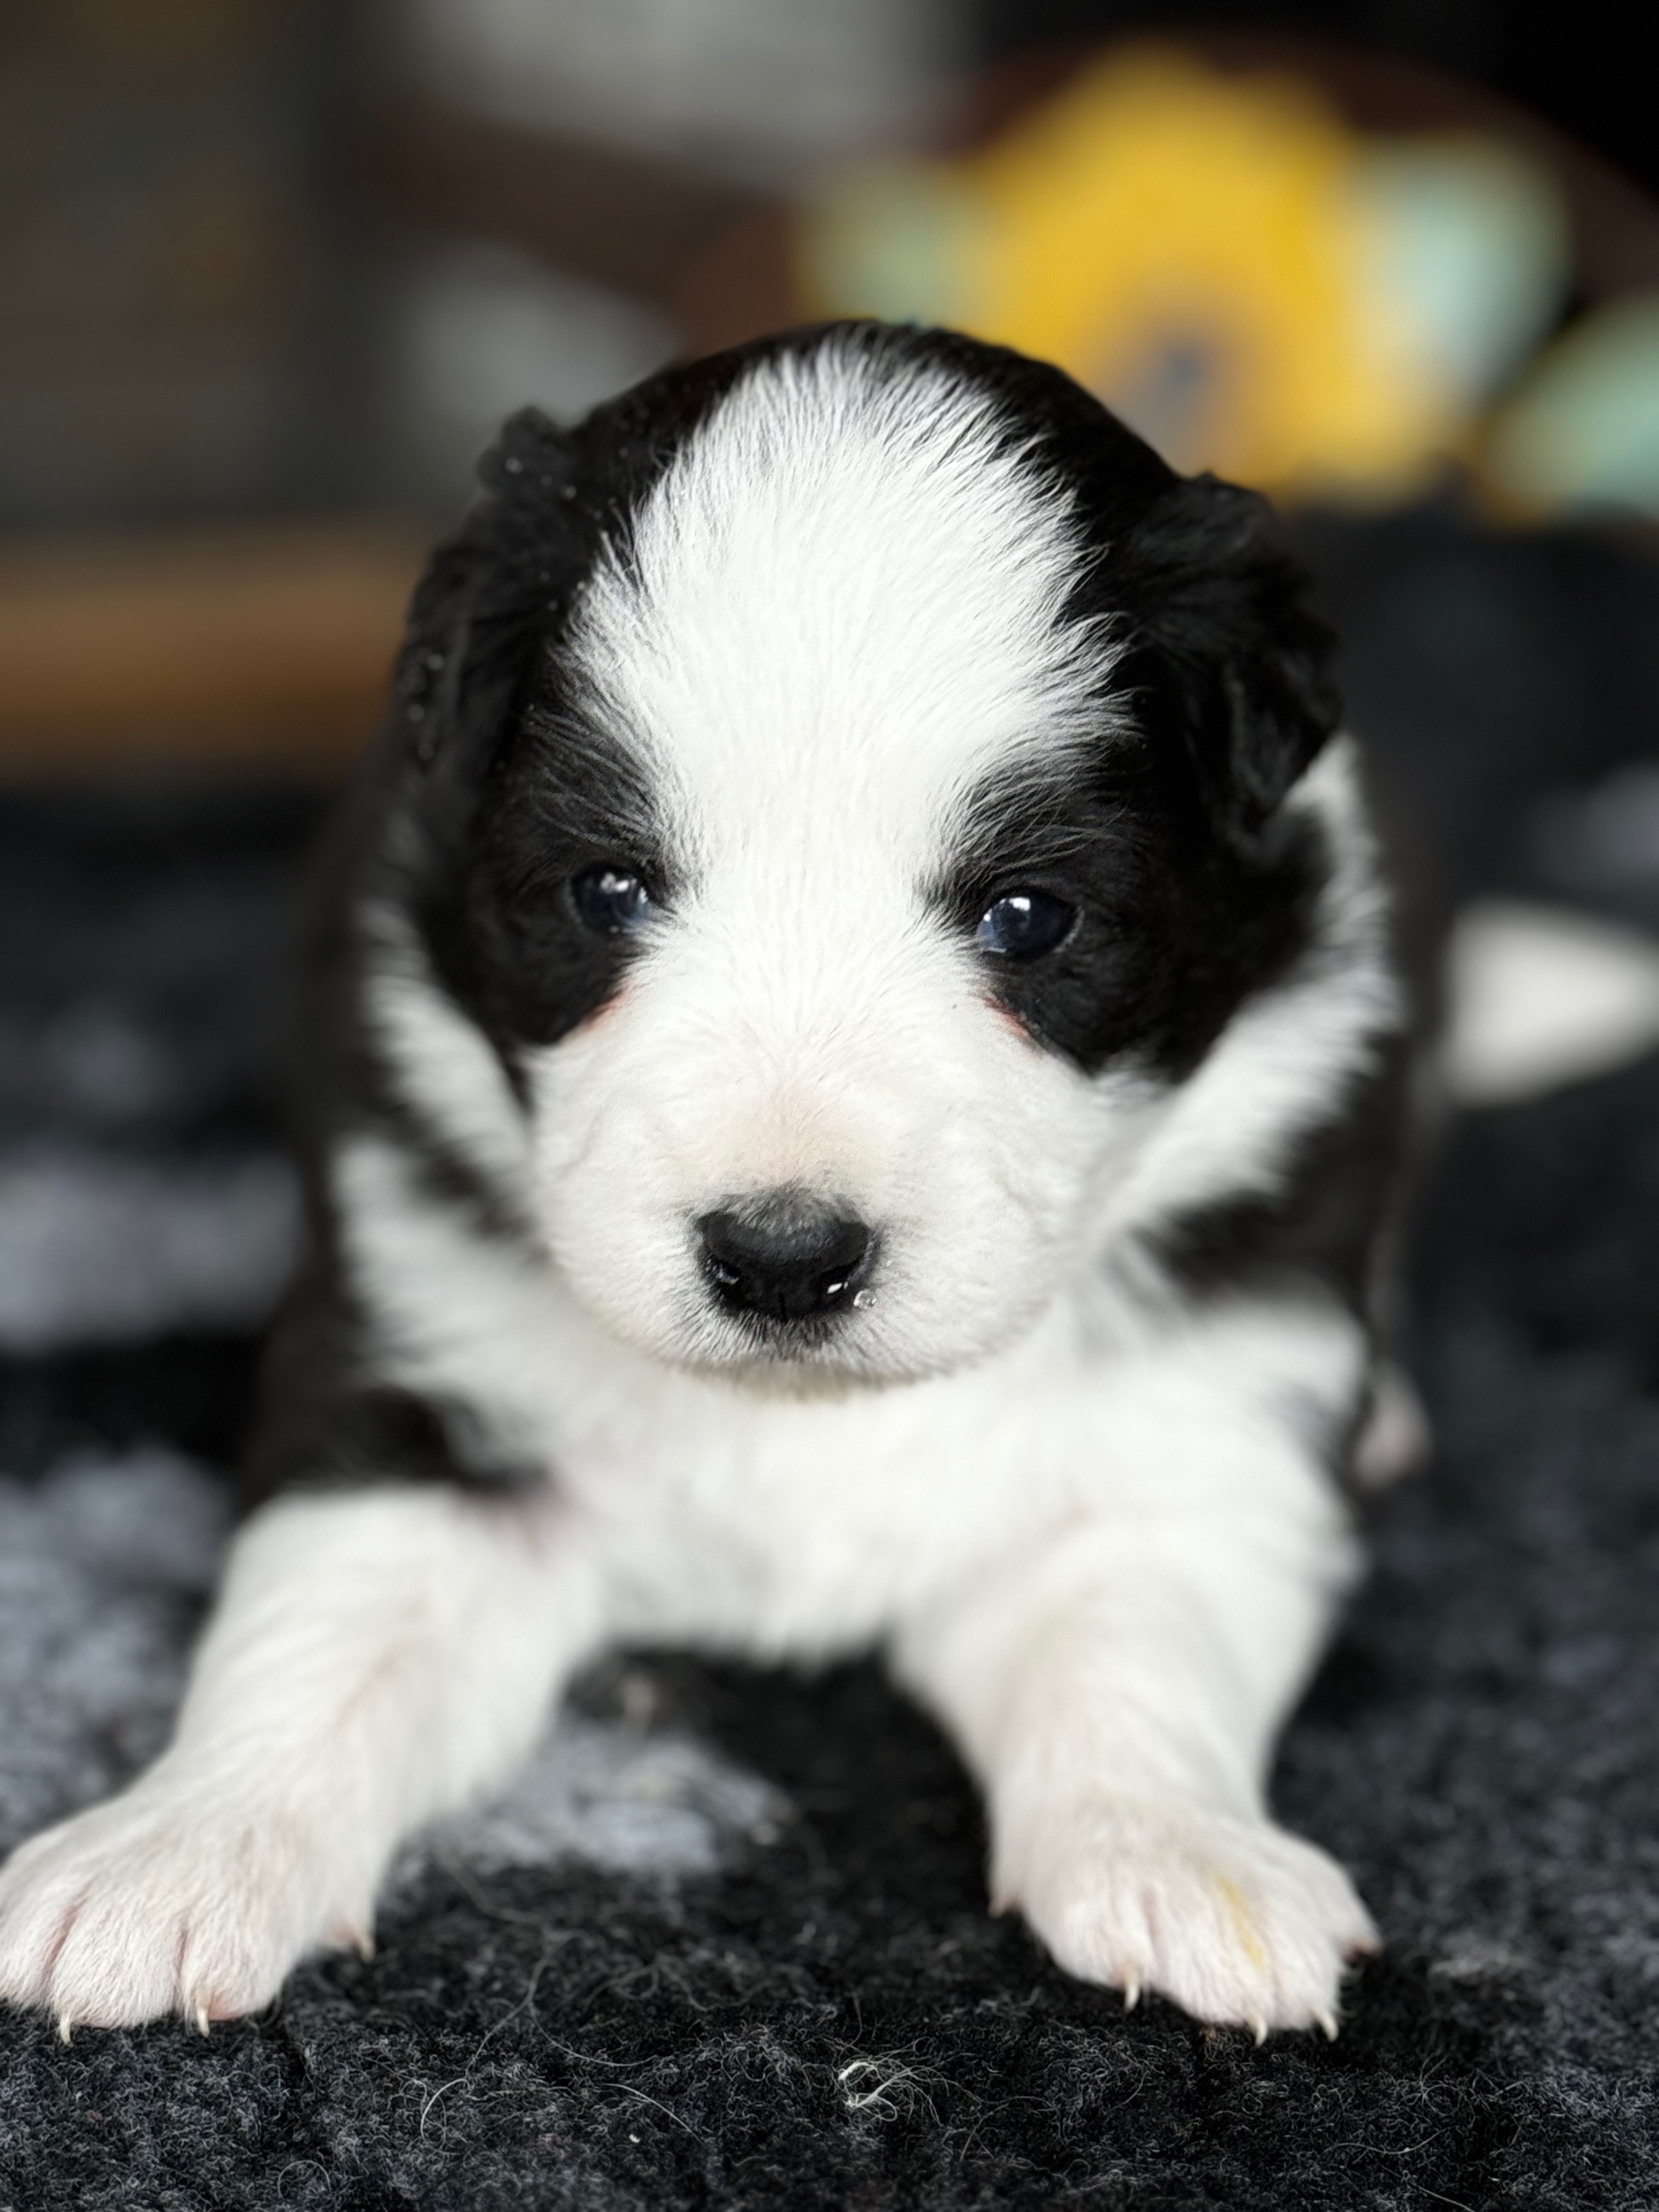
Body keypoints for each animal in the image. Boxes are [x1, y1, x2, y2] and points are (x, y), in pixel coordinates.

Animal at [0, 323, 1407, 2035]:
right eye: (608, 891)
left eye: (1028, 917)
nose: (785, 1259)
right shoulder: (429, 1404)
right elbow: (317, 1624)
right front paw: (177, 1849)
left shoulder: (1192, 1438)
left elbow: (1143, 1641)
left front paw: (1185, 1856)